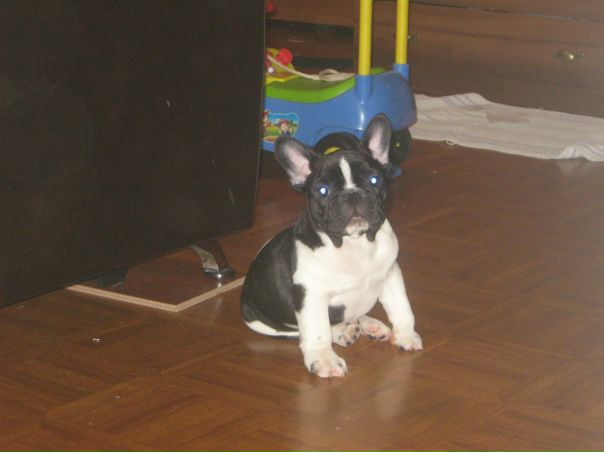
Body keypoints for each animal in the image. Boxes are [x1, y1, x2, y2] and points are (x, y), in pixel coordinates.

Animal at [240, 115, 422, 378]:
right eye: (322, 190)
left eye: (374, 180)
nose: (352, 194)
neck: (355, 243)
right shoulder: (311, 295)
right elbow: (317, 331)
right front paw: (324, 360)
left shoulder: (390, 274)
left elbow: (401, 306)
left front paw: (406, 335)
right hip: (262, 323)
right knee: (301, 331)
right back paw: (342, 331)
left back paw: (367, 324)